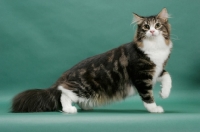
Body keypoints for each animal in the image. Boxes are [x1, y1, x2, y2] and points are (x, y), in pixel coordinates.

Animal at [12, 8, 172, 113]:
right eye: (146, 26)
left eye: (158, 25)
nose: (152, 31)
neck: (155, 48)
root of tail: (66, 73)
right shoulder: (141, 77)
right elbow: (148, 96)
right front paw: (154, 108)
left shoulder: (157, 70)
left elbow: (168, 77)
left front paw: (164, 93)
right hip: (83, 88)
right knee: (63, 91)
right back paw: (69, 109)